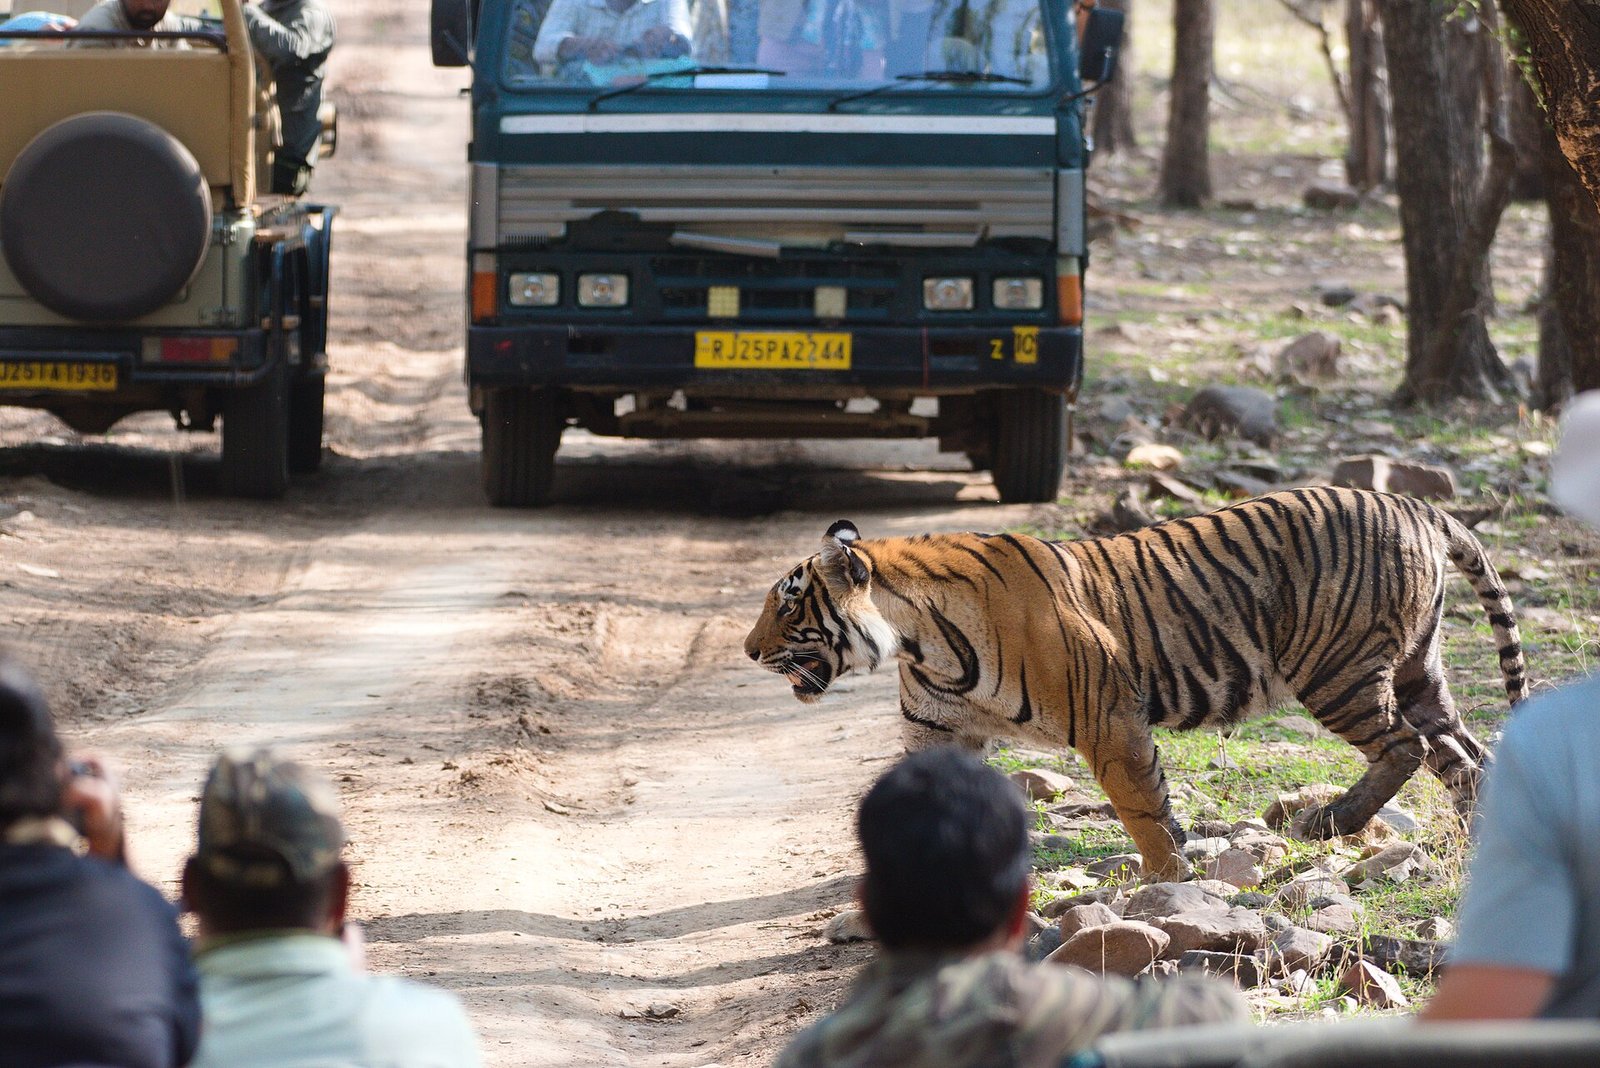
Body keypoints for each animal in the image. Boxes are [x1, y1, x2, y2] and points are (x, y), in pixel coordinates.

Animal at [744, 486, 1528, 881]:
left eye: (788, 603)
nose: (750, 652)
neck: (919, 640)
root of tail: (1417, 504)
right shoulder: (938, 730)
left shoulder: (1106, 714)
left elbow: (1139, 802)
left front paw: (1167, 875)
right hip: (1418, 670)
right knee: (1467, 756)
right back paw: (1481, 843)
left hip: (1337, 670)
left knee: (1403, 747)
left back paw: (1327, 822)